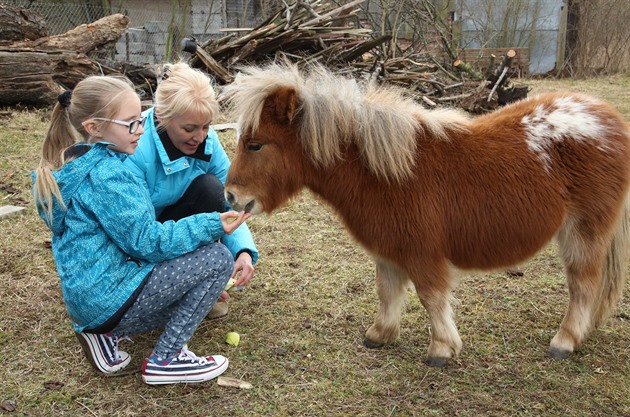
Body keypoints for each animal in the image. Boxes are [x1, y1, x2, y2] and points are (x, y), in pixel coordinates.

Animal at [222, 61, 630, 364]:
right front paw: (380, 335)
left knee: (583, 284)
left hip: (584, 231)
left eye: (255, 145)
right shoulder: (388, 249)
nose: (230, 196)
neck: (385, 173)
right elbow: (388, 291)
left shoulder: (422, 253)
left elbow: (431, 296)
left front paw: (441, 349)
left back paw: (564, 341)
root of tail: (608, 117)